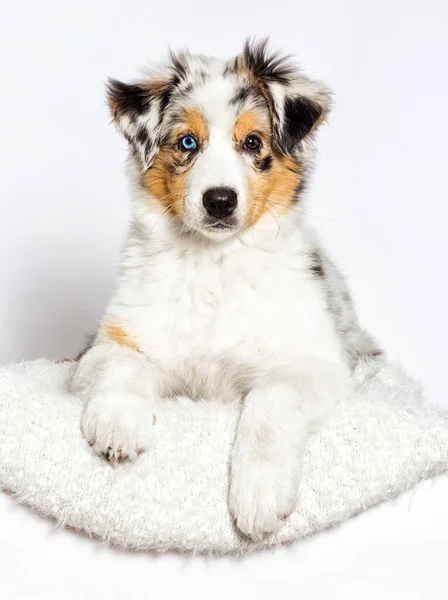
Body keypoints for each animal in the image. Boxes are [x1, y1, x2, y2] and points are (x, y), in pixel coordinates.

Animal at [71, 41, 382, 540]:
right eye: (187, 143)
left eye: (252, 142)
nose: (219, 200)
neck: (213, 263)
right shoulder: (105, 345)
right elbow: (122, 365)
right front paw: (118, 424)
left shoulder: (319, 365)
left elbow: (270, 399)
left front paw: (259, 496)